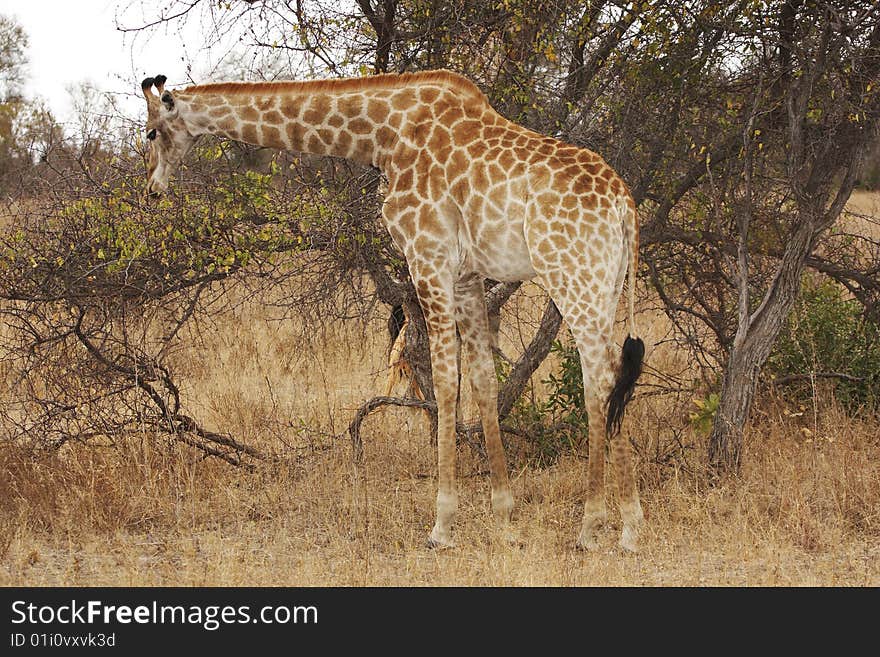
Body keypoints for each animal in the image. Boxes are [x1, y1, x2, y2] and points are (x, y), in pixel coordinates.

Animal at [143, 69, 648, 552]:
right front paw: (505, 521)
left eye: (150, 132)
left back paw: (596, 527)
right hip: (607, 285)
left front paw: (442, 526)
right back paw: (627, 530)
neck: (384, 136)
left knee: (601, 378)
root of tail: (625, 206)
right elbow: (483, 381)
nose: (152, 190)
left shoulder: (428, 257)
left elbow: (444, 383)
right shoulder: (466, 276)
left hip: (571, 276)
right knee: (613, 376)